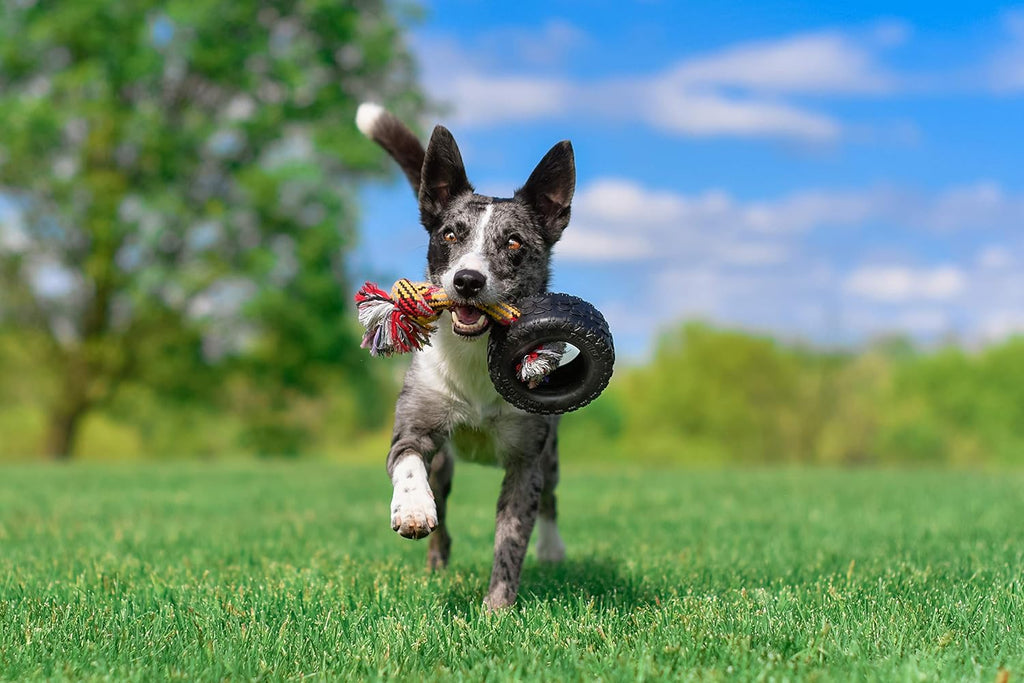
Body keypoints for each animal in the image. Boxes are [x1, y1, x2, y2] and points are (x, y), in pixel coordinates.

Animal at [356, 101, 573, 610]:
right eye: (451, 235)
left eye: (514, 243)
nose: (468, 281)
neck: (475, 357)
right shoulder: (415, 424)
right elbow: (408, 460)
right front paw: (413, 510)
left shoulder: (527, 460)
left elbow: (512, 537)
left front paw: (497, 609)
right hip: (446, 465)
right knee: (440, 497)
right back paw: (436, 557)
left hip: (552, 456)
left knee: (552, 499)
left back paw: (553, 549)